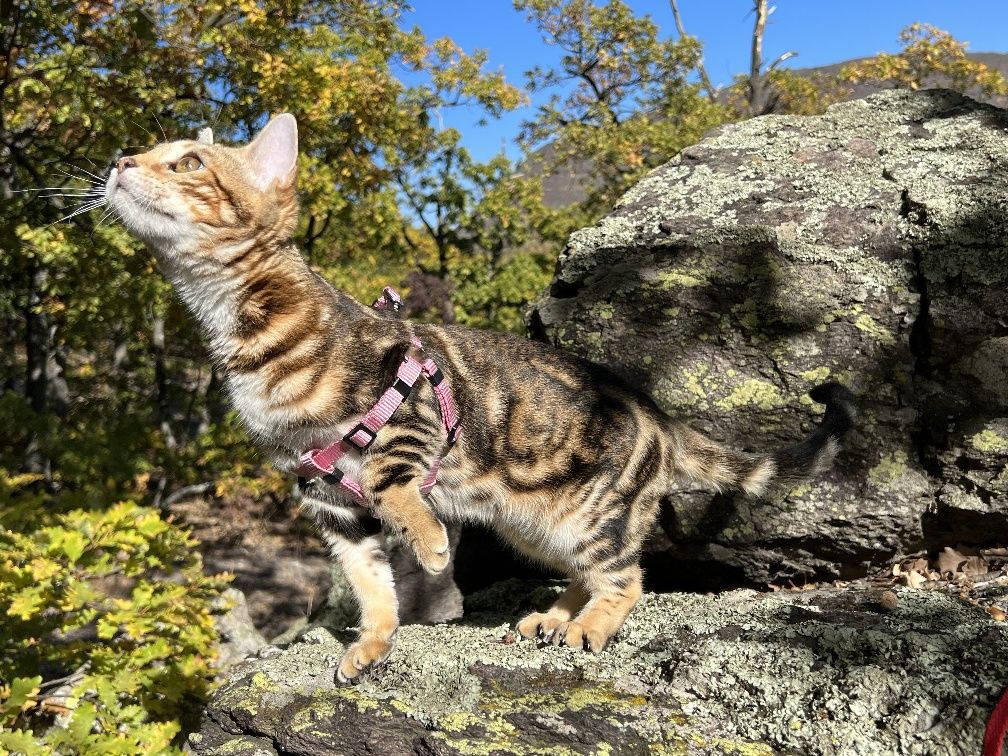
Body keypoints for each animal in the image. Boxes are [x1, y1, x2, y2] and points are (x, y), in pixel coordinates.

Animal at [108, 113, 850, 685]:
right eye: (146, 151)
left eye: (190, 161)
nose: (118, 159)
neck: (240, 327)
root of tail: (659, 415)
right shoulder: (326, 502)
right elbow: (372, 587)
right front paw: (372, 644)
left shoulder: (407, 411)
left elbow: (389, 484)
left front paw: (432, 543)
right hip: (535, 525)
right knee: (588, 573)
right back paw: (555, 618)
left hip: (591, 517)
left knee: (628, 577)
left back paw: (589, 628)